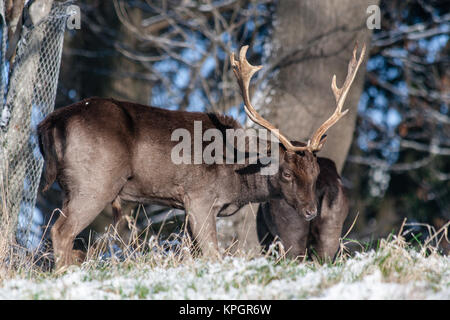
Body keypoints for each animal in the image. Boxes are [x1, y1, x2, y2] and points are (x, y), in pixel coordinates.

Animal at [37, 42, 364, 268]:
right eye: (285, 173)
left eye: (315, 173)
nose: (310, 211)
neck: (235, 175)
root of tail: (49, 123)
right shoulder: (199, 196)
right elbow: (212, 253)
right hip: (95, 182)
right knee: (62, 231)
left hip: (72, 185)